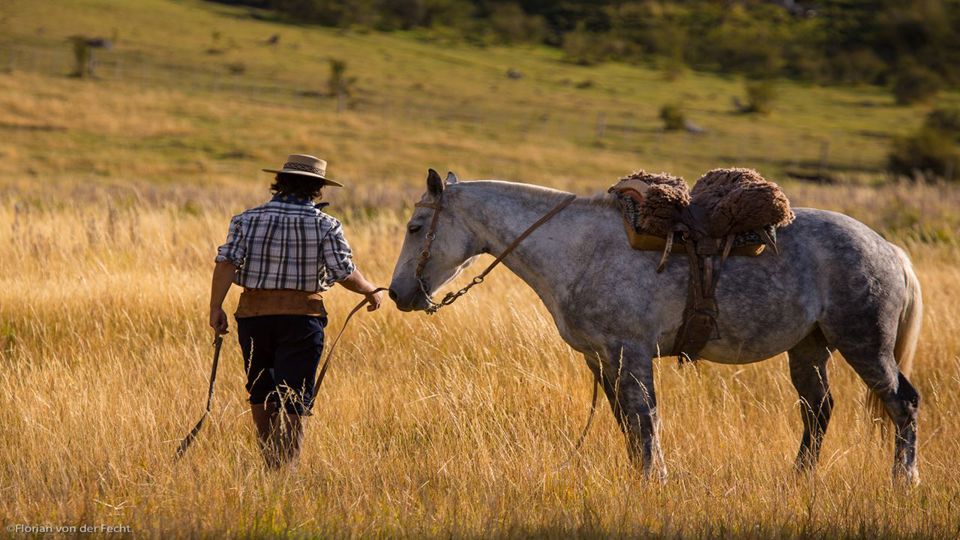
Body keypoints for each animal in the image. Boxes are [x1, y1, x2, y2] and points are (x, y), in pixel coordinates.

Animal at [388, 170, 922, 484]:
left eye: (415, 227)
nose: (396, 294)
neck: (578, 249)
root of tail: (890, 250)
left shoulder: (632, 350)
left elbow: (645, 419)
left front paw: (653, 479)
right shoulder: (603, 357)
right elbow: (626, 420)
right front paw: (642, 477)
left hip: (864, 345)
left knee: (903, 404)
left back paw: (904, 481)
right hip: (810, 349)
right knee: (818, 411)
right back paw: (799, 479)